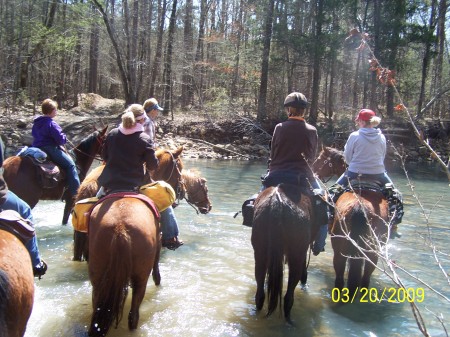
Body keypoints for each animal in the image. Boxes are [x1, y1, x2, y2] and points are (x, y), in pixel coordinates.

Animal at [250, 184, 316, 322]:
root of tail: (277, 201)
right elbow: (304, 273)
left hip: (260, 252)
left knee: (260, 294)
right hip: (296, 254)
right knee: (288, 297)